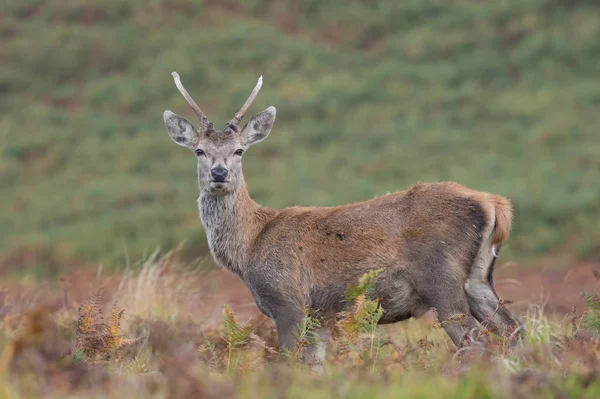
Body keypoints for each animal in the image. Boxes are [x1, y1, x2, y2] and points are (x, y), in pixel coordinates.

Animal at [163, 73, 524, 364]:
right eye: (199, 150)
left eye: (239, 150)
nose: (219, 173)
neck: (250, 246)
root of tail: (494, 204)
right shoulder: (320, 317)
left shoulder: (288, 300)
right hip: (479, 277)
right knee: (514, 330)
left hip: (440, 278)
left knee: (474, 343)